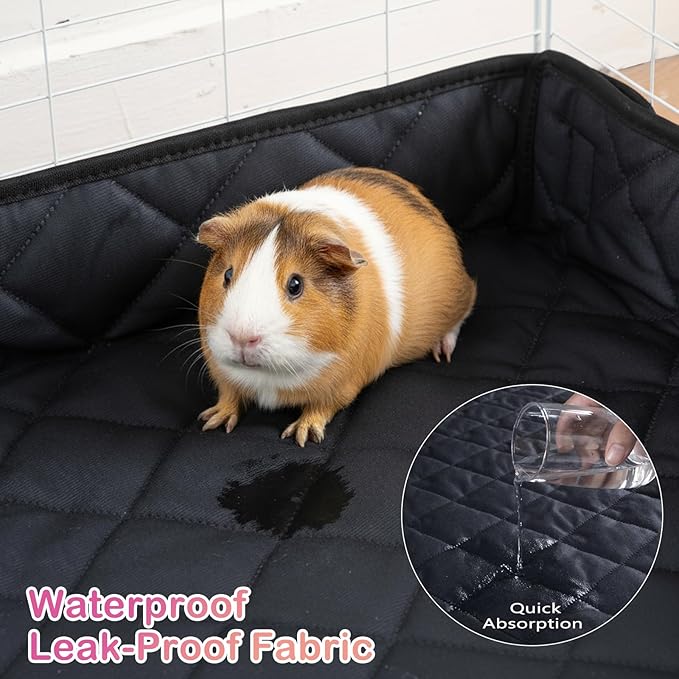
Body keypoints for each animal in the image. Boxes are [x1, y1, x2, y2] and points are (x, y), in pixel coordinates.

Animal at [196, 167, 476, 446]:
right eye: (228, 274)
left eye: (295, 284)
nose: (242, 338)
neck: (269, 379)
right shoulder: (223, 374)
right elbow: (229, 395)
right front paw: (211, 421)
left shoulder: (343, 384)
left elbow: (321, 407)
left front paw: (302, 436)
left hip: (460, 298)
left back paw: (442, 353)